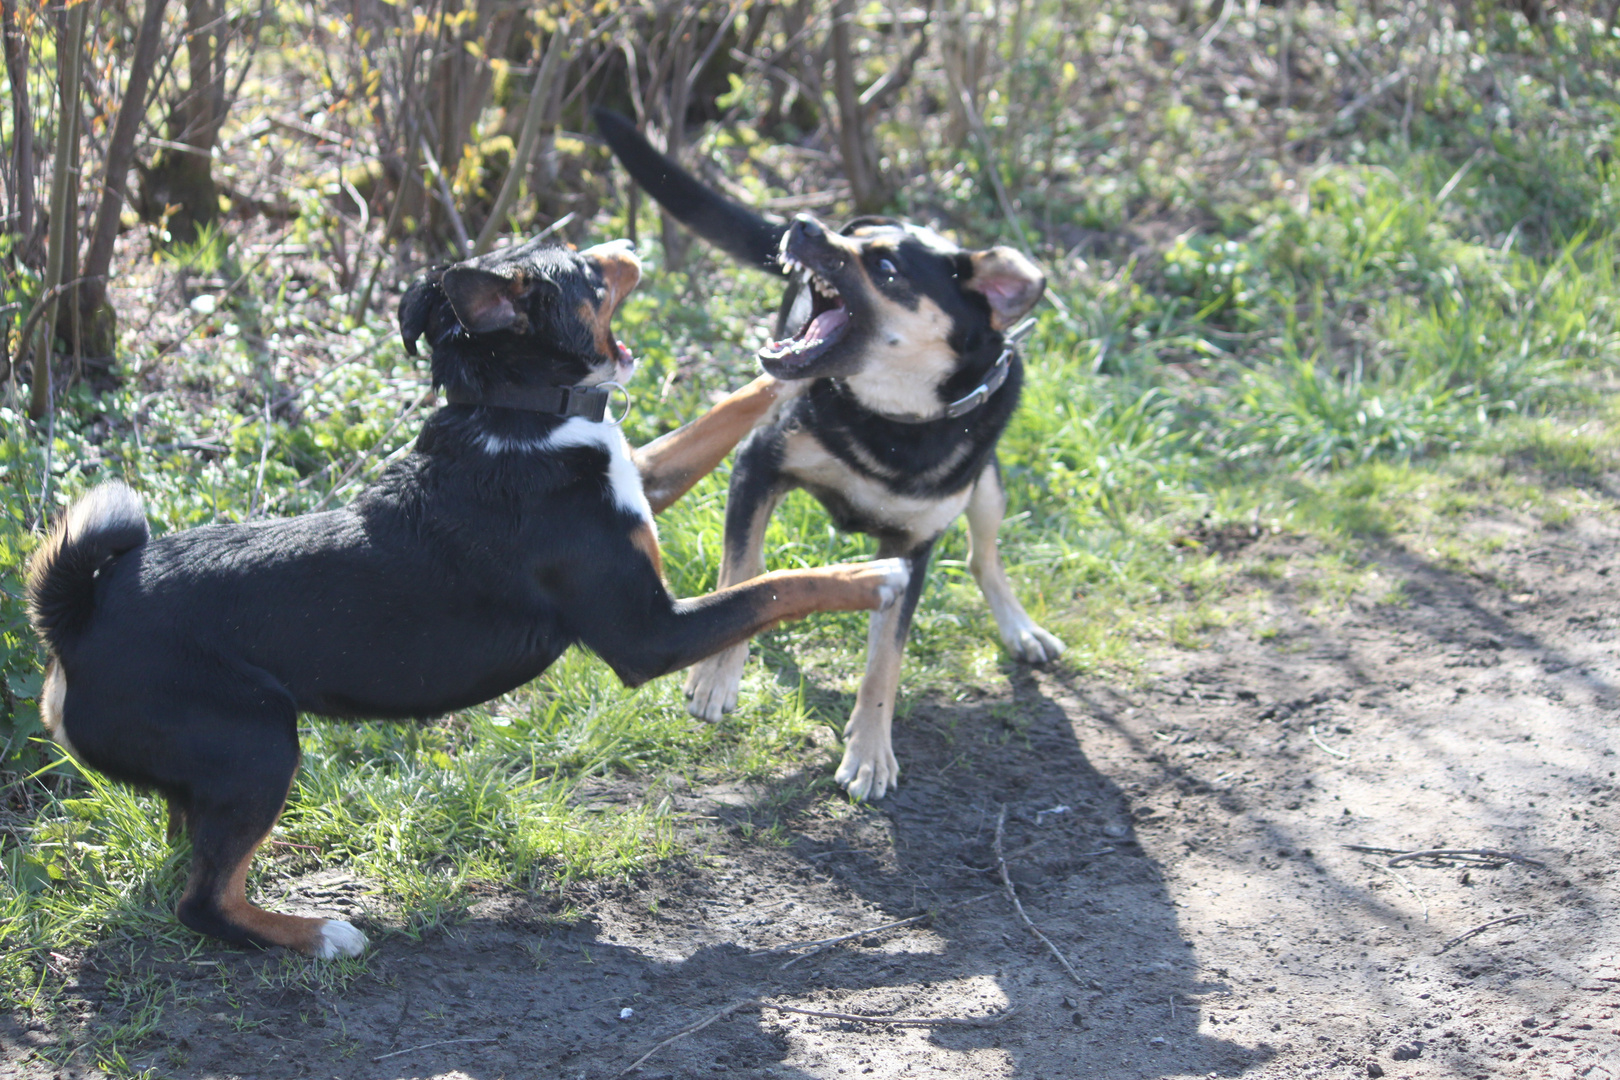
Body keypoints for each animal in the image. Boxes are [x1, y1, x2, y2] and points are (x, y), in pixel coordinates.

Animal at [28, 234, 913, 952]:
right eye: (587, 272)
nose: (626, 242)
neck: (516, 414)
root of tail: (77, 621)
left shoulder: (648, 483)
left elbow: (724, 414)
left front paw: (800, 370)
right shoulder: (648, 634)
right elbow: (775, 588)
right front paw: (873, 577)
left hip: (217, 764)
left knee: (190, 849)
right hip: (261, 745)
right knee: (205, 902)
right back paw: (319, 935)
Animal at [596, 110, 1062, 803]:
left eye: (888, 268)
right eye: (853, 239)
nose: (809, 225)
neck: (890, 422)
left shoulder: (913, 547)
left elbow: (886, 658)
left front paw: (871, 750)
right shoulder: (757, 465)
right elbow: (744, 572)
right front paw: (717, 676)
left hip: (988, 484)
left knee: (985, 553)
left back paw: (1019, 627)